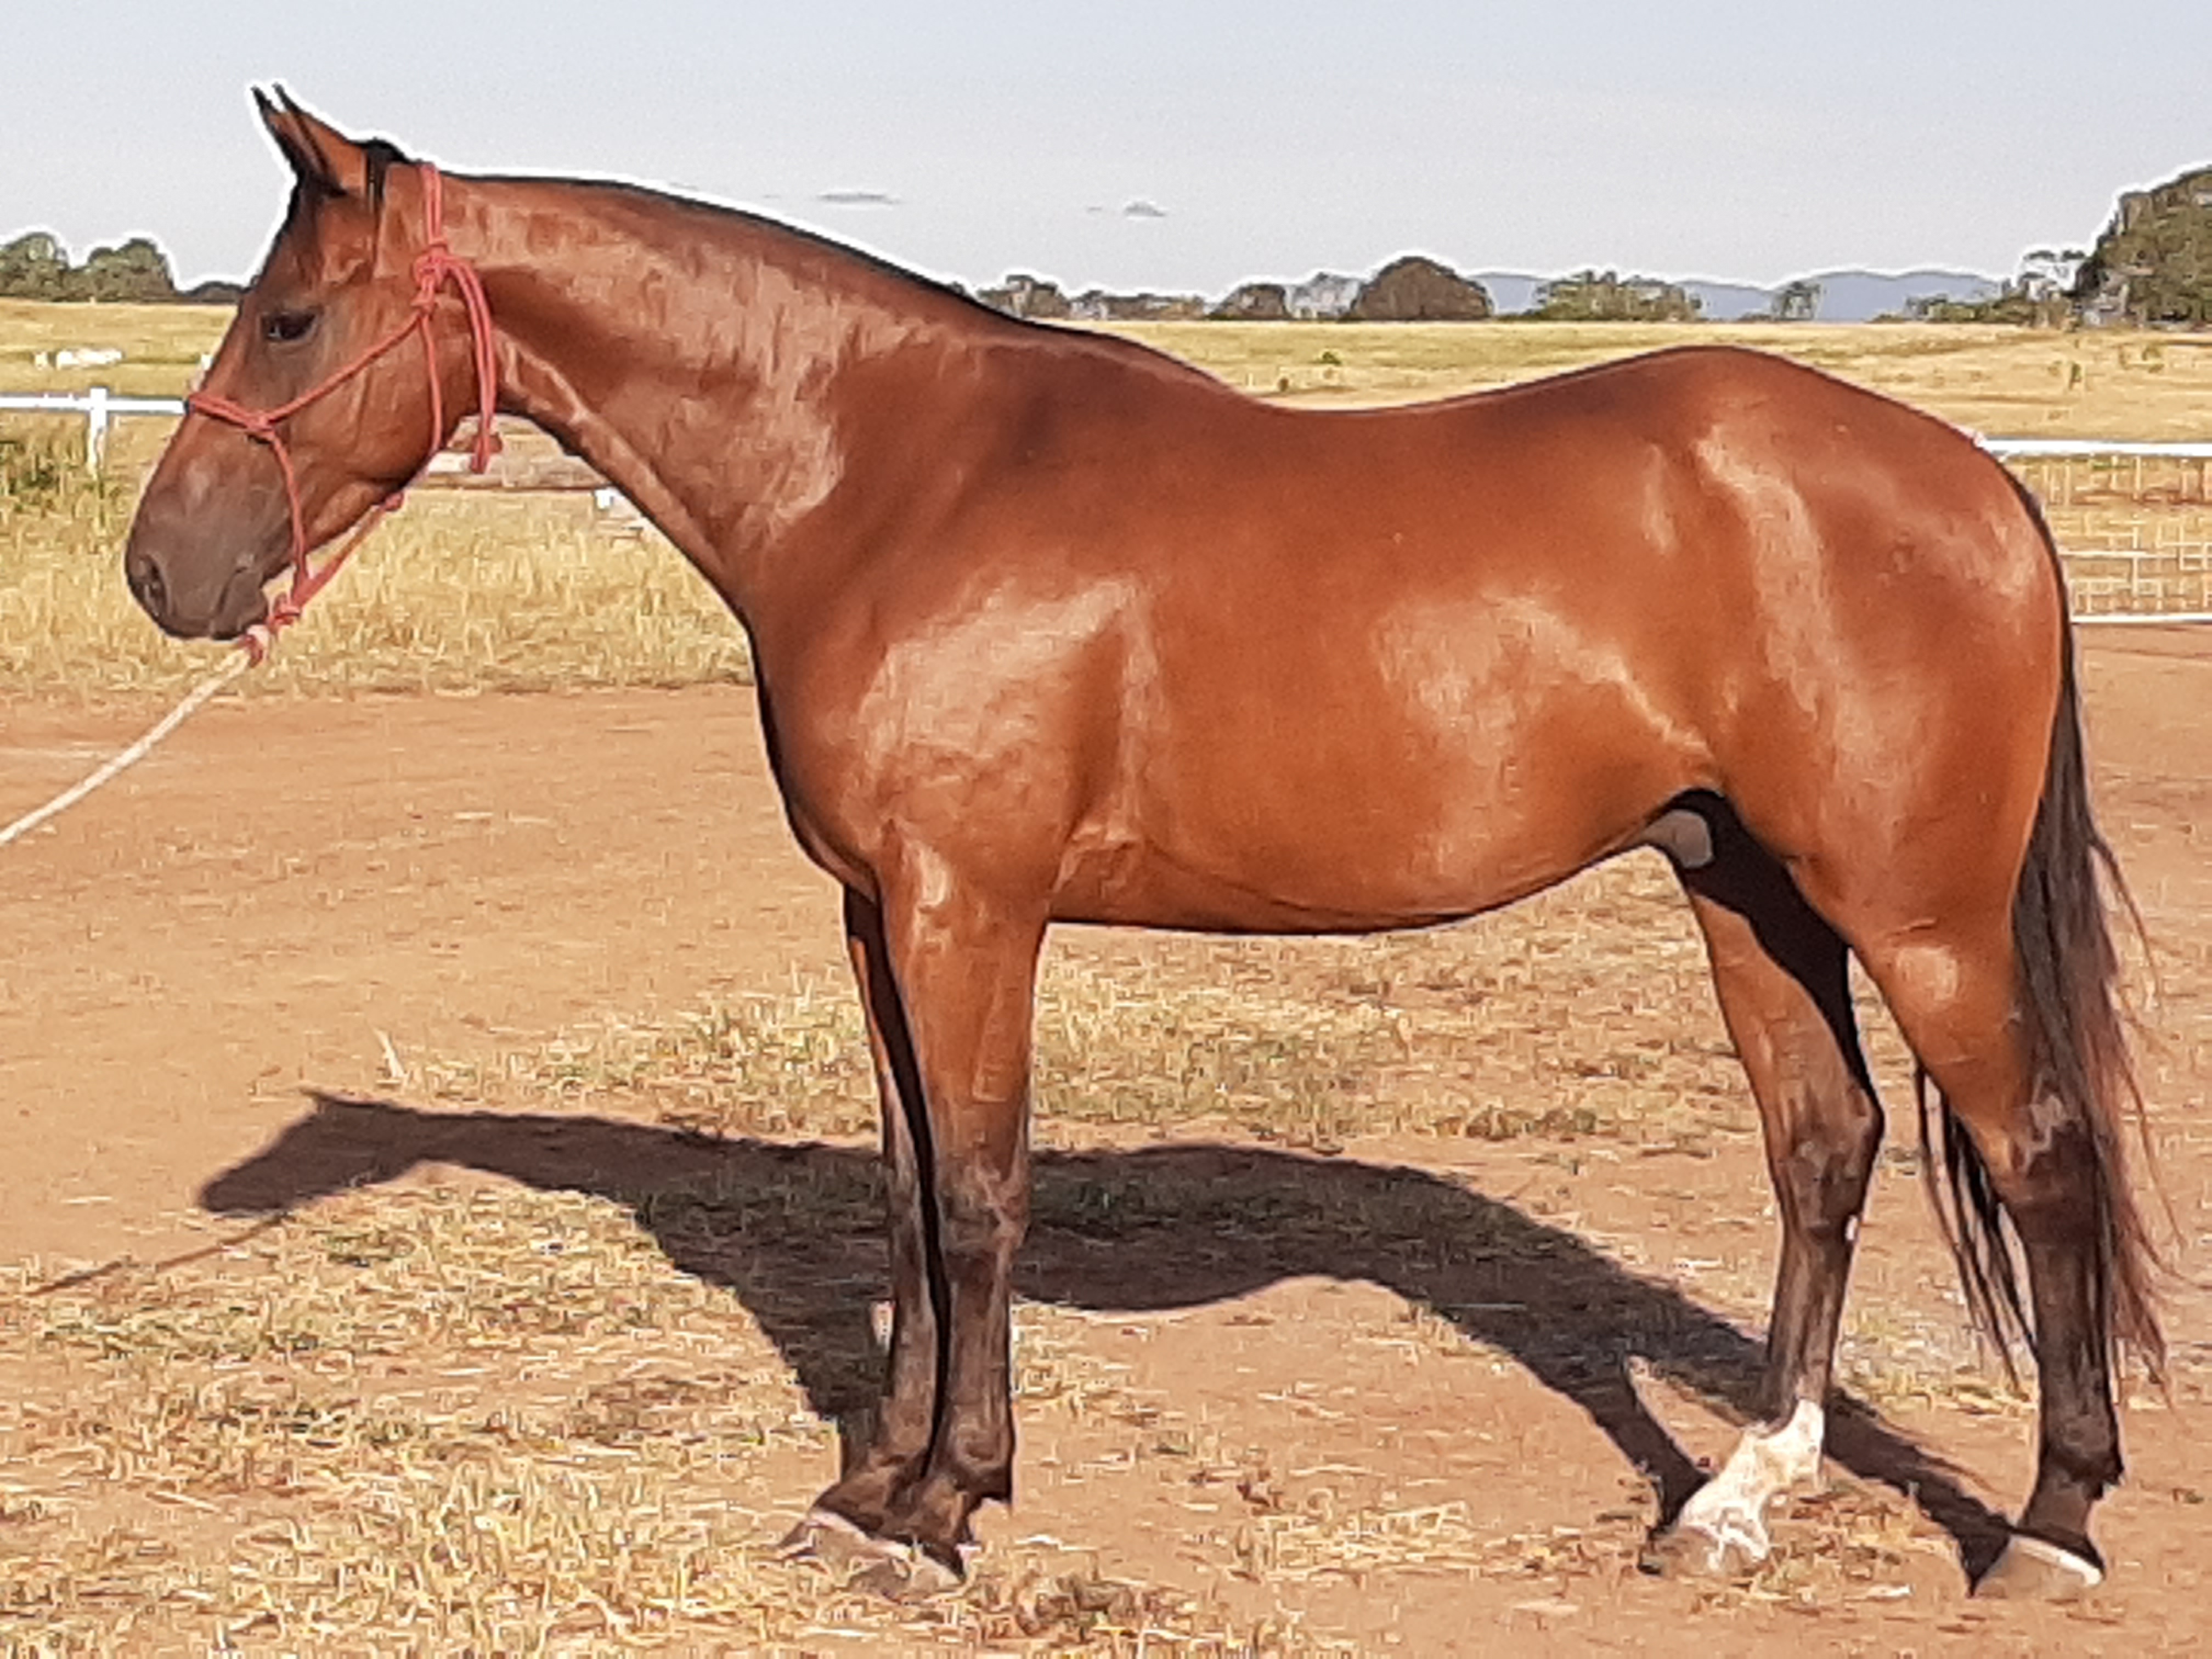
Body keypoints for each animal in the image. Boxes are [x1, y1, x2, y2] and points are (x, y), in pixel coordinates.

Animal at [125, 91, 2158, 1601]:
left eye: (290, 317)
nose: (164, 571)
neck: (888, 475)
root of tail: (1977, 483)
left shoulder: (969, 912)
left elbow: (977, 1195)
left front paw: (945, 1510)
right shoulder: (875, 916)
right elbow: (905, 1196)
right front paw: (873, 1489)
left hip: (1916, 914)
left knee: (2041, 1153)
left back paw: (2054, 1524)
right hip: (1744, 886)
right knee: (1825, 1150)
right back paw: (1740, 1494)